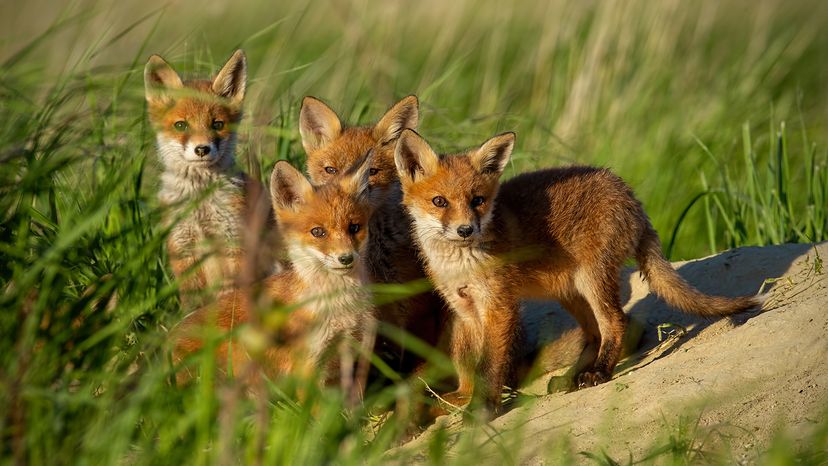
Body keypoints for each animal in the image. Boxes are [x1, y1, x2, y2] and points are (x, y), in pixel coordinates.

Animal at [144, 50, 283, 299]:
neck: (201, 201)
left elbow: (232, 294)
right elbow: (193, 302)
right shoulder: (182, 246)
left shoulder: (234, 242)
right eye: (181, 125)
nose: (202, 149)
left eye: (217, 124)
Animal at [173, 156, 376, 393]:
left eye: (354, 227)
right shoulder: (307, 364)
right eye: (318, 232)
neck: (340, 308)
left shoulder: (355, 352)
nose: (346, 258)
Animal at [393, 128, 763, 416]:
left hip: (592, 279)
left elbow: (491, 365)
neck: (459, 264)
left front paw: (483, 409)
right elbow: (467, 363)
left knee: (615, 323)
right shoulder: (464, 309)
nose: (467, 229)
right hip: (569, 292)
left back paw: (599, 372)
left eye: (478, 200)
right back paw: (572, 377)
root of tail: (629, 193)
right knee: (594, 334)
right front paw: (463, 399)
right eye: (439, 202)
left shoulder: (499, 306)